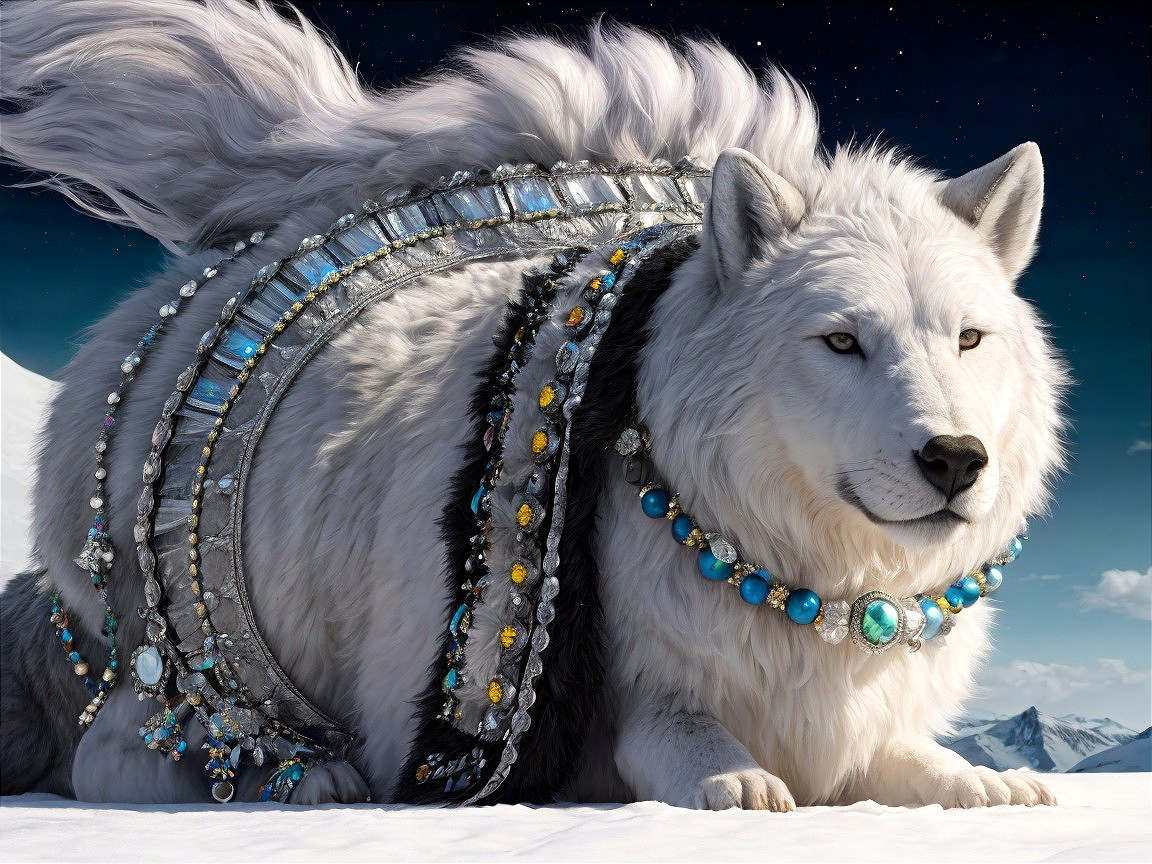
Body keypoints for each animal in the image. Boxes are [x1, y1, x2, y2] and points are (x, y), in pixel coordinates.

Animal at [0, 0, 1065, 809]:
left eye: (969, 339)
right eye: (842, 341)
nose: (955, 459)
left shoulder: (858, 713)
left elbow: (913, 760)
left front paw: (985, 783)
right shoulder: (630, 700)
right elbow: (681, 737)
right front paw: (738, 781)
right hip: (179, 661)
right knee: (121, 757)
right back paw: (307, 778)